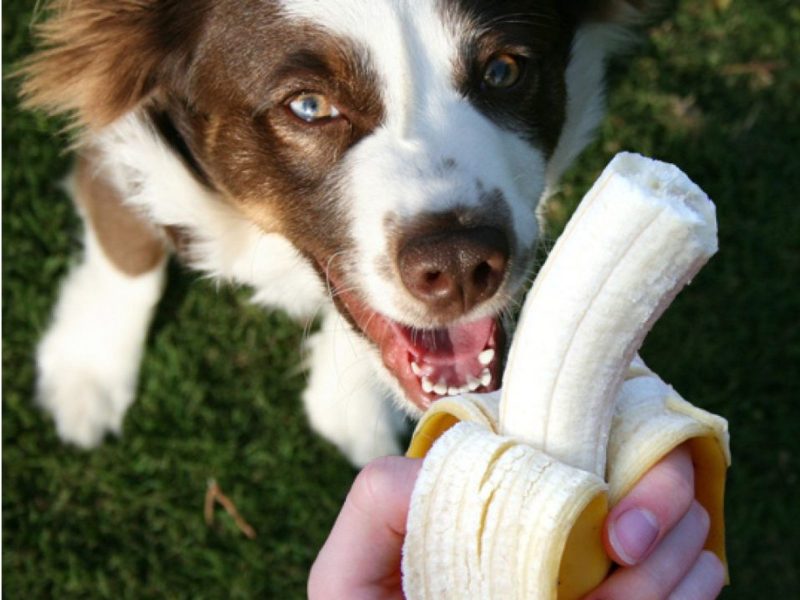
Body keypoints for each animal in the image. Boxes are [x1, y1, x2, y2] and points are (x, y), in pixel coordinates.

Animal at [20, 0, 648, 466]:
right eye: (309, 105)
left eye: (504, 70)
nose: (462, 266)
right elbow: (128, 251)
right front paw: (86, 370)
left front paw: (350, 414)